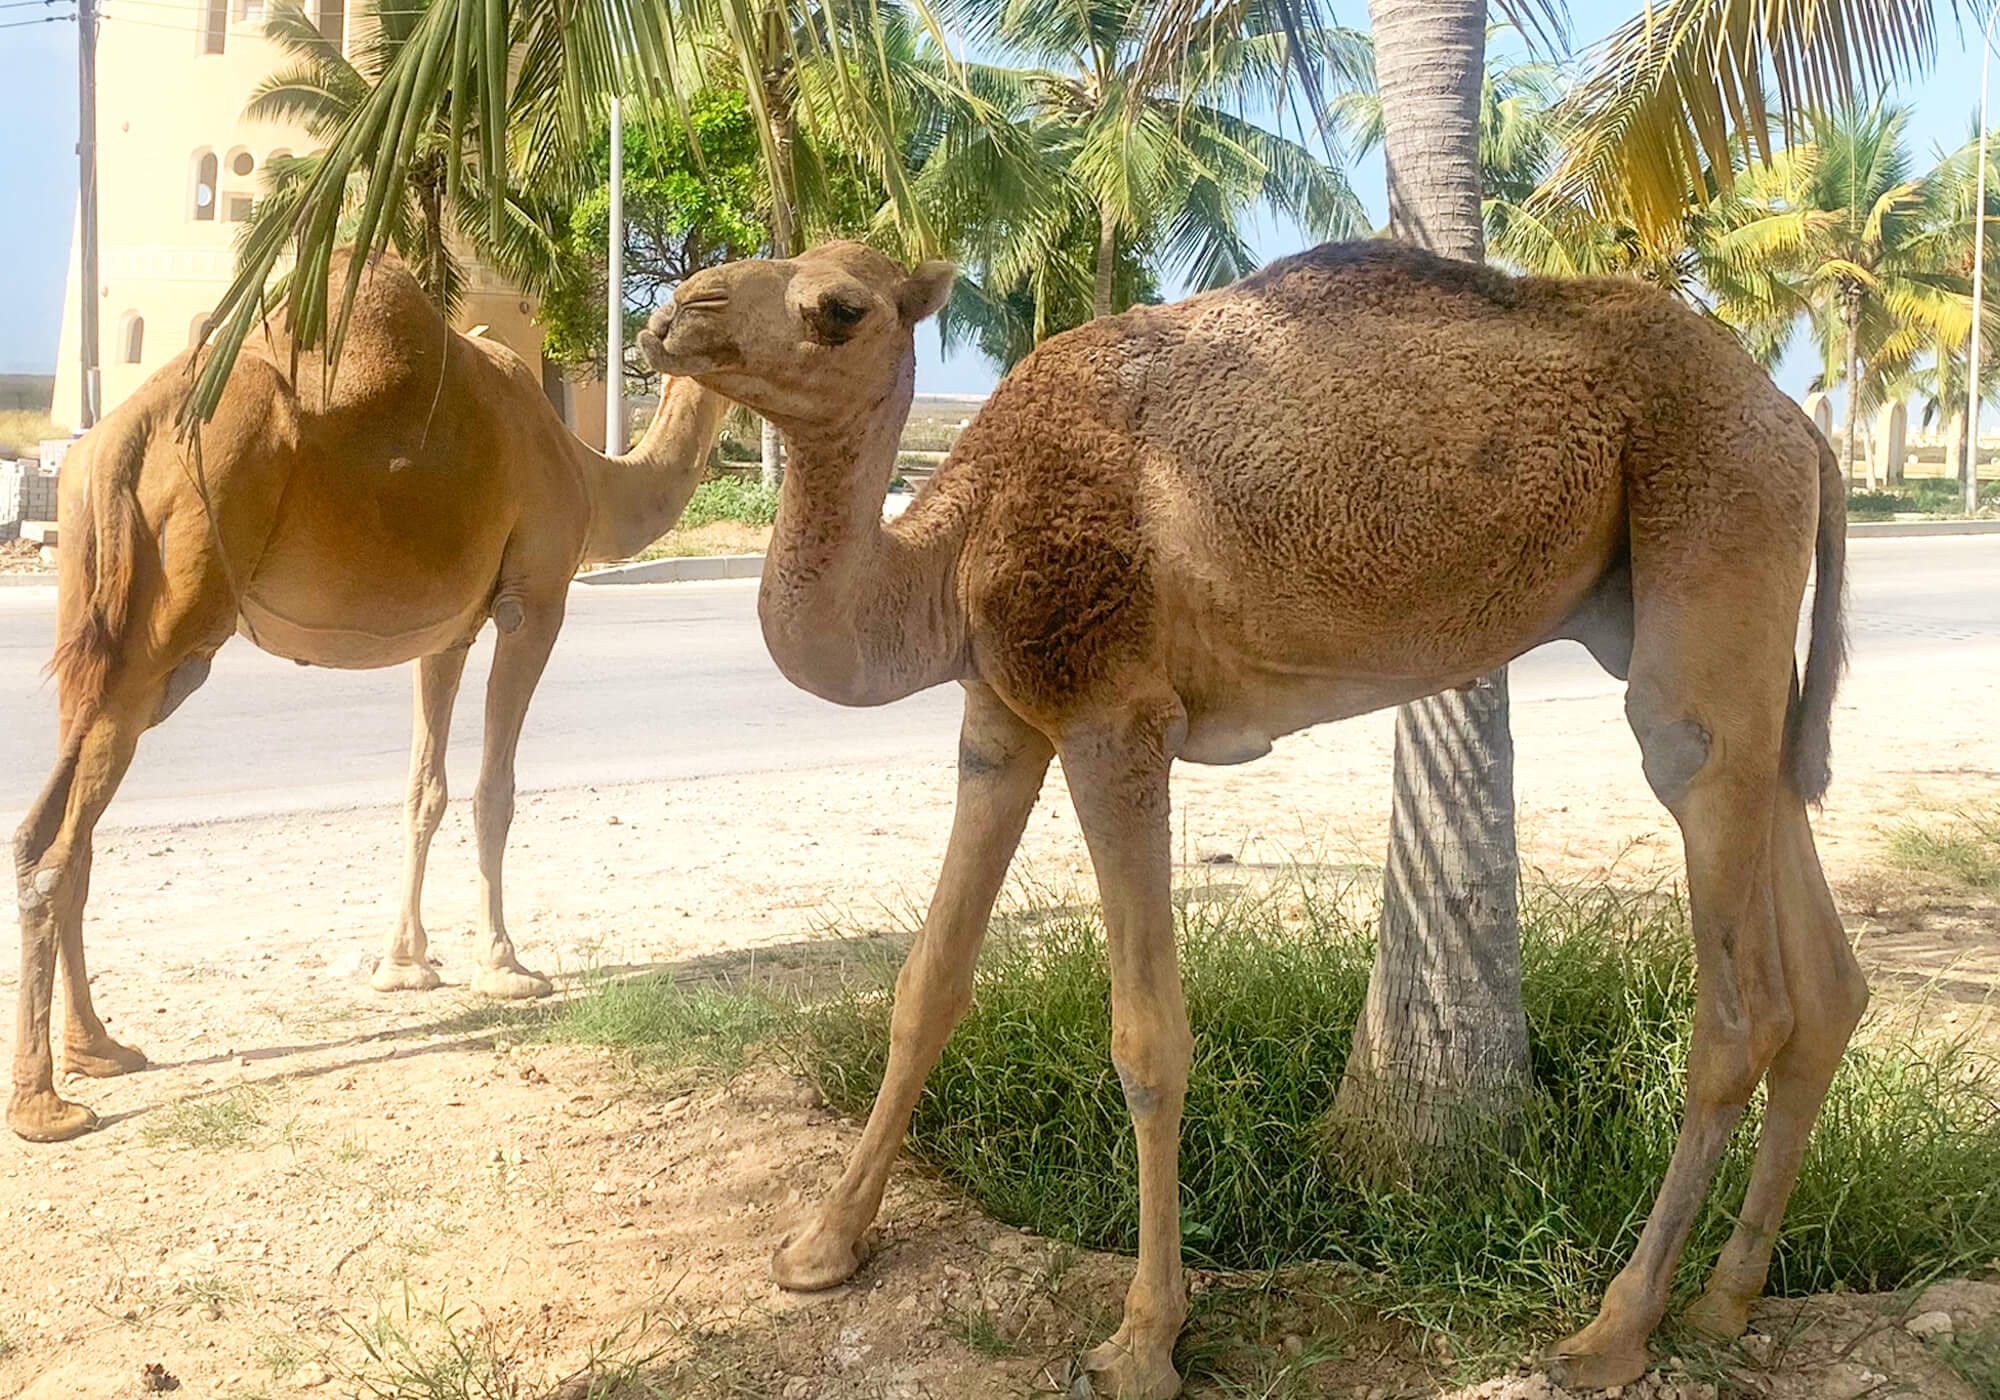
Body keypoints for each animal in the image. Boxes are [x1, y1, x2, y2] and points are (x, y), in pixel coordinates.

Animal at [11, 254, 732, 1152]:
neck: (590, 475)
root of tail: (113, 441)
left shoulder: (448, 630)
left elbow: (425, 790)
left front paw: (405, 964)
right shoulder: (535, 598)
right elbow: (494, 791)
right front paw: (505, 967)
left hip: (98, 608)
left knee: (59, 829)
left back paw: (101, 1050)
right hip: (170, 622)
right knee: (55, 840)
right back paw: (45, 1106)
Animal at [640, 243, 1856, 1400]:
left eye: (838, 307)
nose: (675, 313)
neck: (951, 549)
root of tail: (1800, 425)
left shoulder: (1112, 718)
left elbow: (1146, 1039)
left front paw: (1142, 1341)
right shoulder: (1002, 719)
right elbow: (924, 985)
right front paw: (820, 1247)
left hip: (1710, 540)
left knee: (1736, 995)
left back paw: (1614, 1329)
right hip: (1673, 619)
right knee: (1819, 964)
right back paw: (1726, 1296)